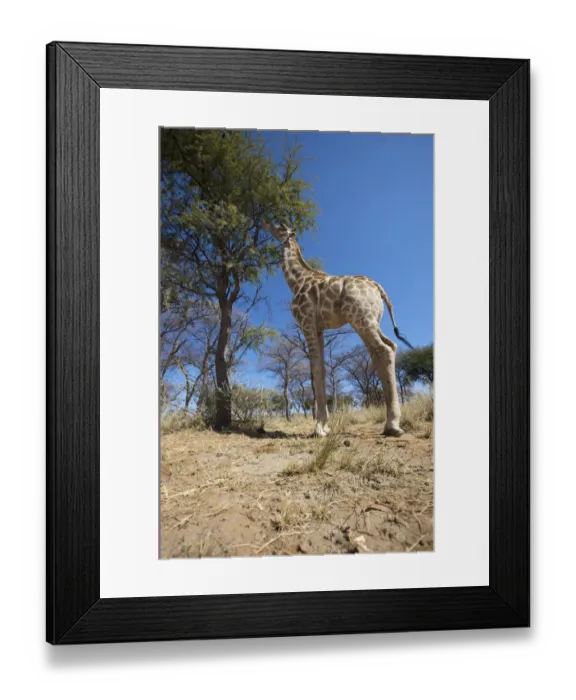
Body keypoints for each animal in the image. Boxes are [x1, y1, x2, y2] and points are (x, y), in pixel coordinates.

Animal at [263, 222, 413, 438]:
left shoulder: (306, 322)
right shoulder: (319, 327)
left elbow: (316, 368)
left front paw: (319, 428)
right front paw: (325, 426)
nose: (265, 223)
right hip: (370, 320)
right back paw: (388, 424)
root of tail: (378, 288)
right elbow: (323, 368)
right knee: (386, 348)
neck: (296, 281)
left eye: (280, 226)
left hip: (361, 318)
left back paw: (393, 425)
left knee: (384, 349)